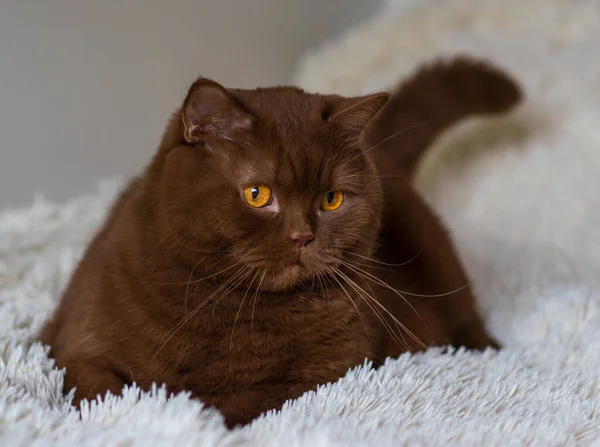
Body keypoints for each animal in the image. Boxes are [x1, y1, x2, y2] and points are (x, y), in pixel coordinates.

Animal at [39, 55, 524, 428]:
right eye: (258, 194)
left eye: (331, 199)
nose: (303, 235)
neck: (228, 306)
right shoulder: (74, 346)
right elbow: (101, 390)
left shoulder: (325, 371)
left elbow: (227, 403)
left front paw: (178, 410)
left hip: (441, 260)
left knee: (467, 317)